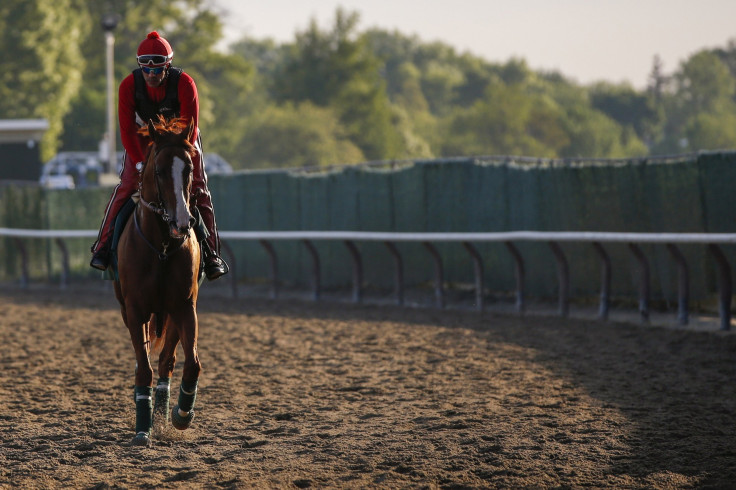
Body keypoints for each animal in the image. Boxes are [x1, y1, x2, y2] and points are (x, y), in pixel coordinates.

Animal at [113, 117, 203, 446]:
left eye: (189, 168)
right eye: (160, 170)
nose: (182, 222)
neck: (162, 247)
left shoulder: (185, 306)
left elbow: (191, 363)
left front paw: (181, 414)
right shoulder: (135, 310)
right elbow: (144, 369)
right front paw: (142, 428)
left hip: (171, 314)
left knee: (167, 361)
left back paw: (164, 411)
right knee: (149, 363)